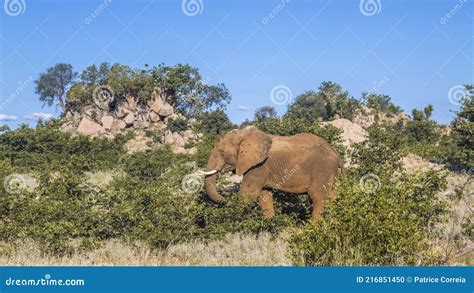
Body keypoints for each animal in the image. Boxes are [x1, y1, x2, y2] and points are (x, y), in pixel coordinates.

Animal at [204, 124, 344, 220]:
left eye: (222, 153)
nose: (225, 198)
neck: (244, 135)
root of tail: (337, 155)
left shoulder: (259, 167)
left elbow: (247, 195)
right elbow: (264, 196)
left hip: (323, 168)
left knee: (318, 197)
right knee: (332, 197)